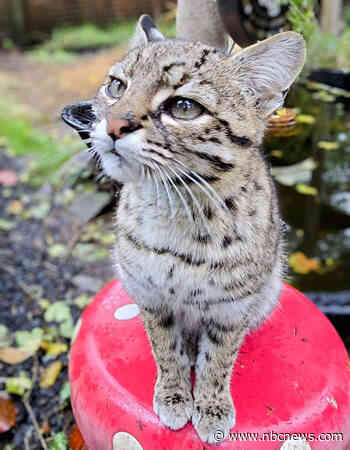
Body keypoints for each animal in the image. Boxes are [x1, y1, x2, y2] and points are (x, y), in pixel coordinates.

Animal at [61, 9, 304, 442]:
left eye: (184, 107)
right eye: (116, 86)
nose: (112, 125)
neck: (180, 207)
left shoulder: (231, 308)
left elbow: (219, 359)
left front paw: (211, 406)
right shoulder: (150, 295)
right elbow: (165, 350)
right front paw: (174, 396)